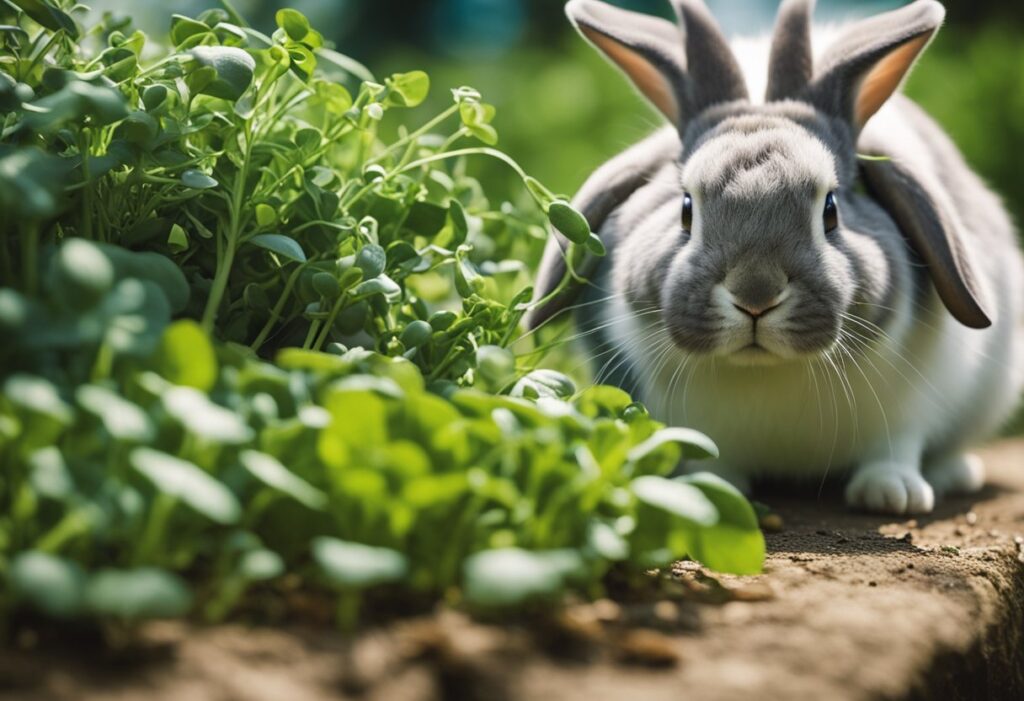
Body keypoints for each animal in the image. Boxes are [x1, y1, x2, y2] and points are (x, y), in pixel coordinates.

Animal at [532, 0, 1024, 513]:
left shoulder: (911, 407)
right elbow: (711, 462)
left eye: (830, 211)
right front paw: (714, 490)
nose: (755, 296)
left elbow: (896, 447)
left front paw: (892, 495)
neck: (766, 373)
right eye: (686, 208)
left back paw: (954, 473)